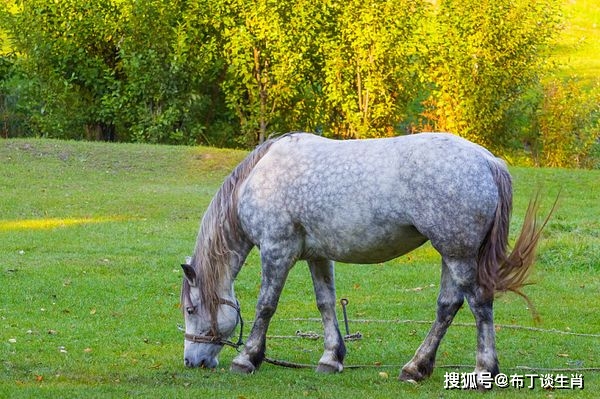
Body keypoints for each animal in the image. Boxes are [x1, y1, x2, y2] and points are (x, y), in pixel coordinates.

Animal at [180, 134, 552, 384]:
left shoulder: (276, 249)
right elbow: (325, 303)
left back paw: (483, 370)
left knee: (479, 303)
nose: (191, 361)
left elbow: (266, 306)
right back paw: (416, 368)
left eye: (190, 309)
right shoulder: (317, 255)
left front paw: (247, 358)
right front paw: (331, 358)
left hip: (458, 253)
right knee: (448, 307)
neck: (261, 175)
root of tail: (488, 161)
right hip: (450, 253)